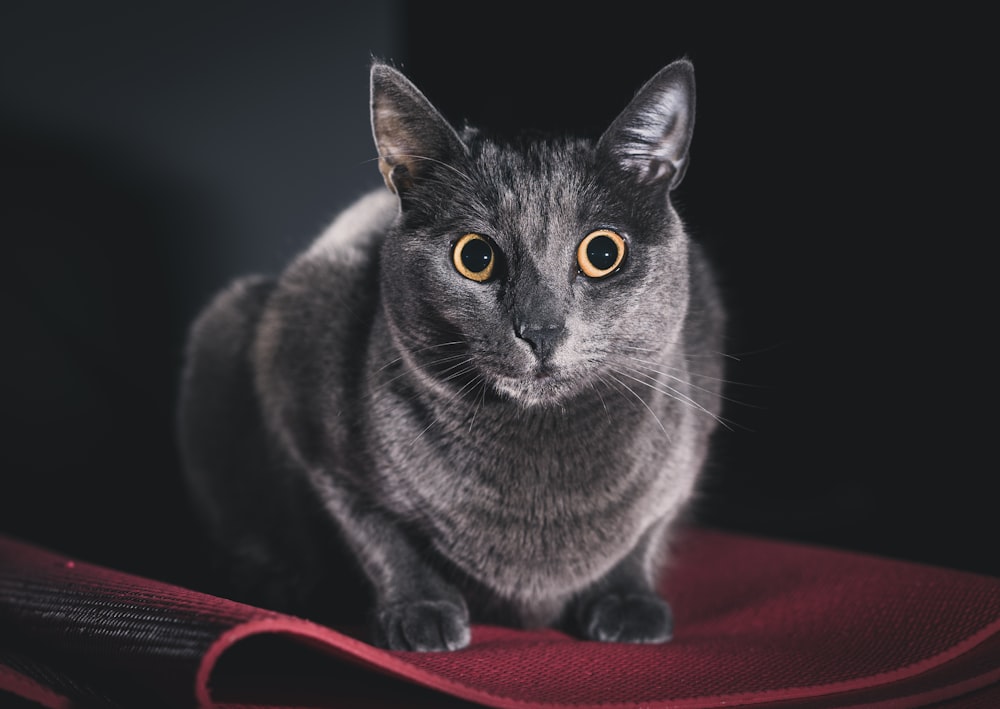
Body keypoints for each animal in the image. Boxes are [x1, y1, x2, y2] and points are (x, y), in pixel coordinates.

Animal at [178, 58, 728, 648]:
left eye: (603, 253)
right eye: (475, 257)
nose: (541, 330)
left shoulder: (692, 423)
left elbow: (650, 527)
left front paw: (628, 599)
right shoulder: (304, 399)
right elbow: (375, 532)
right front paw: (421, 608)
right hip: (227, 323)